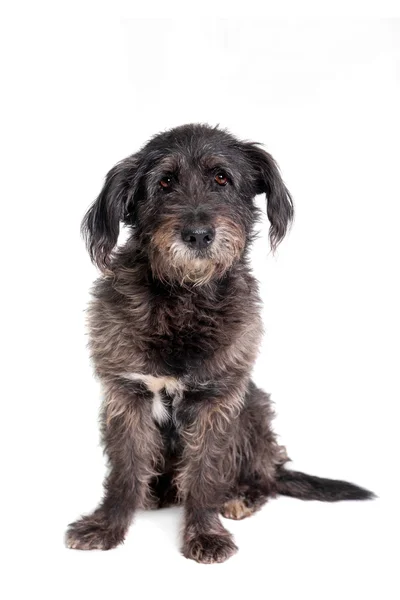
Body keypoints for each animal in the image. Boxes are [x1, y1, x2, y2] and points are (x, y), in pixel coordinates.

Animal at [64, 122, 374, 564]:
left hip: (254, 409)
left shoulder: (217, 401)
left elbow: (205, 474)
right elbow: (124, 471)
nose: (197, 234)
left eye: (222, 178)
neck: (184, 299)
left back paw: (243, 494)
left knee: (267, 476)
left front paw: (205, 533)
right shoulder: (127, 395)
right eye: (164, 182)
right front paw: (107, 525)